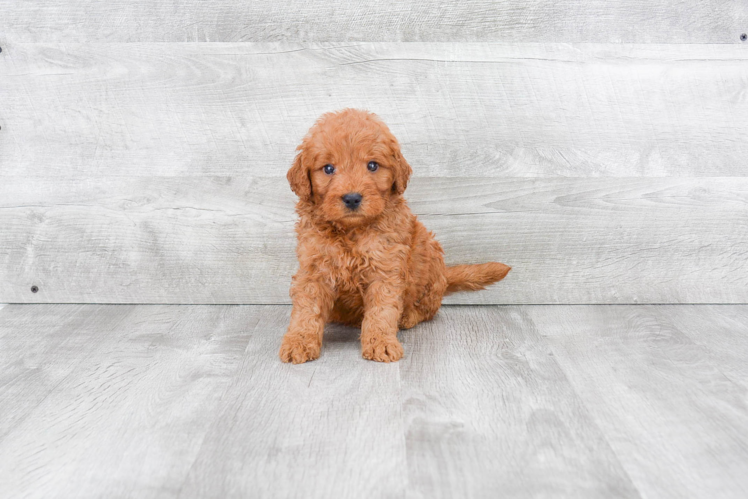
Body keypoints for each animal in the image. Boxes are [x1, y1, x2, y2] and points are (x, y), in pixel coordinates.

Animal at [280, 109, 508, 364]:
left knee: (429, 308)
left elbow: (381, 311)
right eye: (328, 169)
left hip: (430, 259)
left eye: (372, 165)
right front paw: (298, 341)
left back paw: (408, 316)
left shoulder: (385, 268)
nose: (352, 198)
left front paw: (381, 343)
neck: (351, 232)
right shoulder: (313, 270)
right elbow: (306, 310)